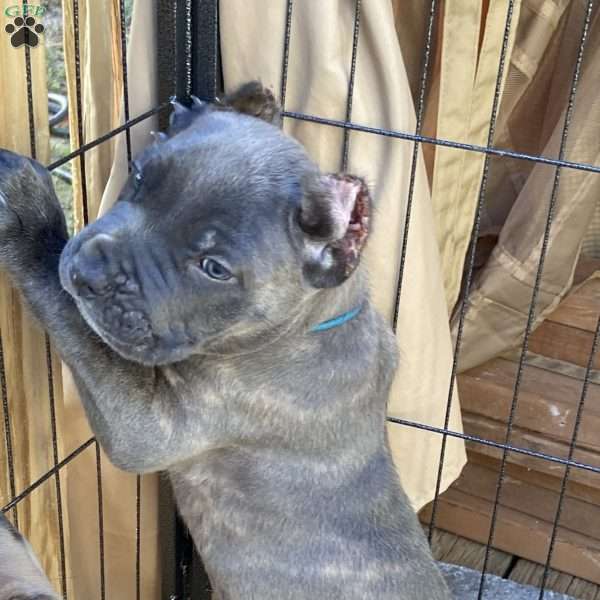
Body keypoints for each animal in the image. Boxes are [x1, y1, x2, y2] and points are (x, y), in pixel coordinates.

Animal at [0, 82, 450, 596]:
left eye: (213, 268)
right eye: (138, 176)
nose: (90, 271)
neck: (310, 324)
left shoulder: (156, 425)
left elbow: (73, 319)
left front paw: (27, 213)